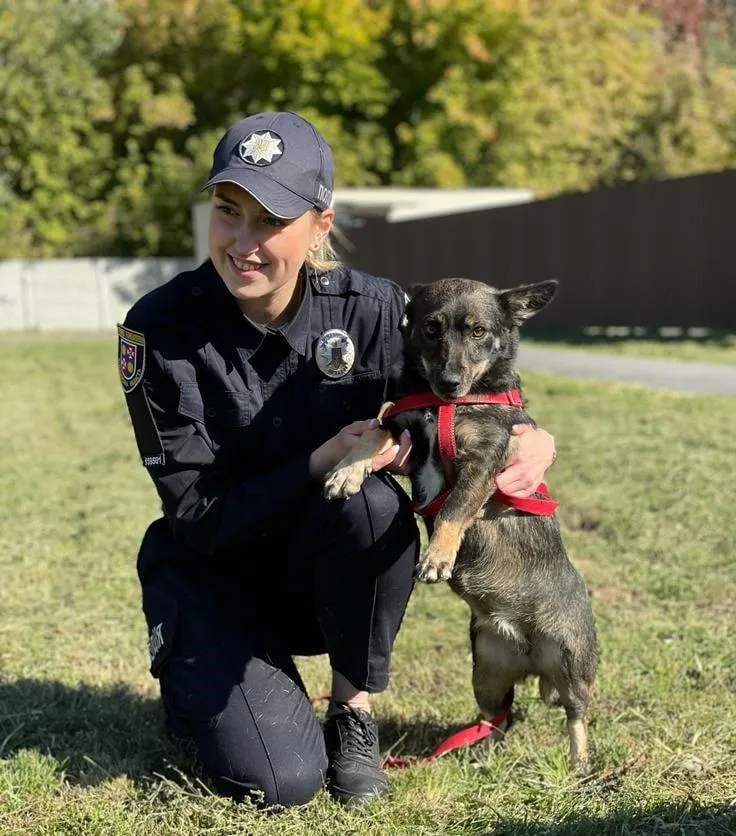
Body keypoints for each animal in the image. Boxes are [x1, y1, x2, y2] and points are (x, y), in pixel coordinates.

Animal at [324, 280, 600, 772]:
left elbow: (454, 508)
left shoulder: (484, 463)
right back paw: (482, 758)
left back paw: (580, 766)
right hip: (485, 673)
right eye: (431, 328)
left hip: (572, 665)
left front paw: (437, 555)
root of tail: (530, 656)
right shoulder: (401, 429)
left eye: (478, 331)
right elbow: (372, 433)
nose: (450, 383)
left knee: (576, 716)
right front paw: (346, 471)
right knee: (498, 719)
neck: (445, 408)